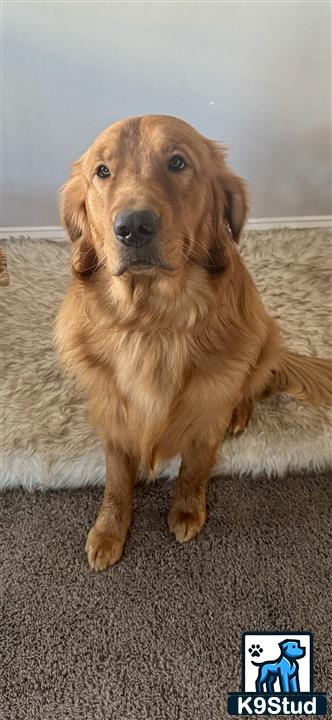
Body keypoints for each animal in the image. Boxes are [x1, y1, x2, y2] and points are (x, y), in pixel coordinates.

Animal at [55, 115, 332, 572]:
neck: (152, 322)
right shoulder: (112, 413)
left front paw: (187, 511)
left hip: (264, 337)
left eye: (177, 162)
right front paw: (110, 529)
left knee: (249, 387)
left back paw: (239, 413)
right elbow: (116, 480)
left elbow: (195, 468)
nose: (132, 228)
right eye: (102, 171)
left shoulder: (206, 414)